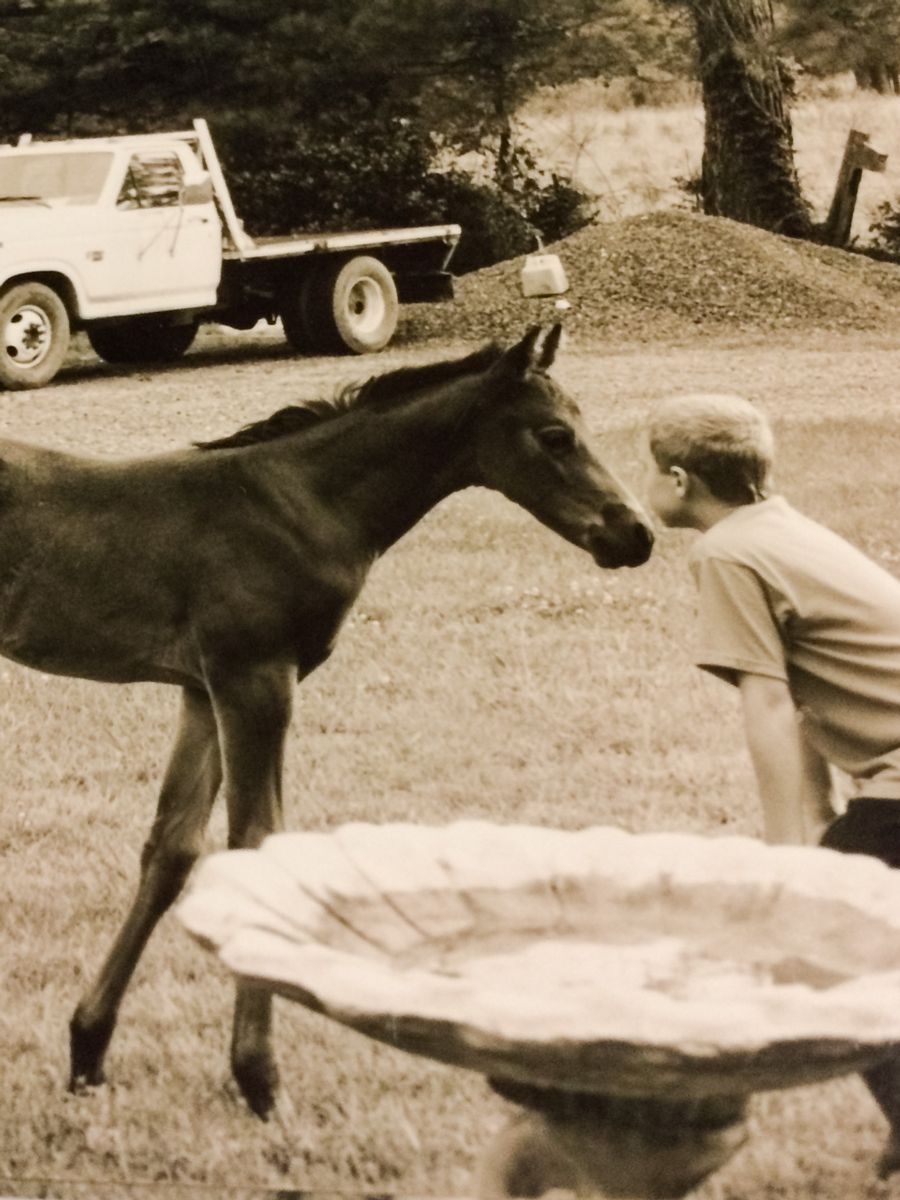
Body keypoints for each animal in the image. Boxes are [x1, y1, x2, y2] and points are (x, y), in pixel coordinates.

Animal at [0, 321, 657, 1113]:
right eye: (556, 435)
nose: (637, 534)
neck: (306, 504)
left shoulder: (203, 690)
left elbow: (172, 849)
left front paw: (88, 1051)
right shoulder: (255, 679)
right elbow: (255, 842)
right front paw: (258, 1078)